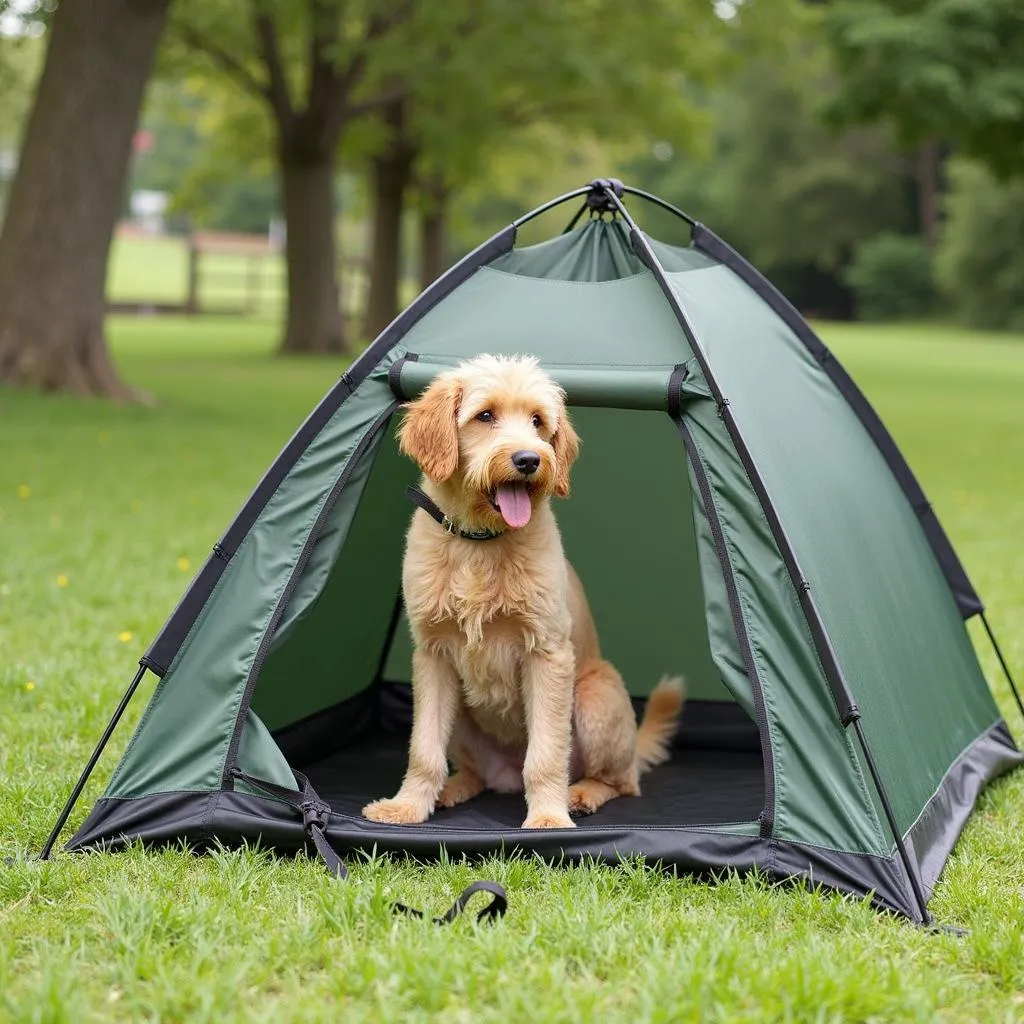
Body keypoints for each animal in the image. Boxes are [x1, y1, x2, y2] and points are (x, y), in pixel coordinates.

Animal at [364, 356, 684, 827]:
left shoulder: (547, 653)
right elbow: (424, 748)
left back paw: (580, 794)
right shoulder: (432, 655)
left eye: (537, 421)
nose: (530, 459)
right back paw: (453, 788)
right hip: (462, 713)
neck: (479, 542)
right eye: (485, 416)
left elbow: (547, 753)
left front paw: (548, 817)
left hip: (595, 696)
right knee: (474, 772)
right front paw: (407, 806)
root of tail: (506, 774)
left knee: (621, 782)